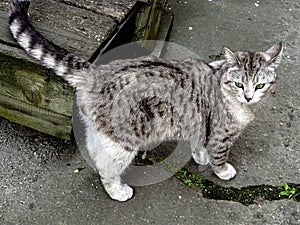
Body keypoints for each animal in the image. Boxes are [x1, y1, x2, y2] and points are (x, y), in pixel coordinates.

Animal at [8, 0, 282, 200]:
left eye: (260, 85)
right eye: (239, 84)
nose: (248, 96)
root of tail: (97, 72)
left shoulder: (199, 124)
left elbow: (198, 145)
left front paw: (200, 157)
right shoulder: (220, 136)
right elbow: (219, 156)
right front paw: (223, 171)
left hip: (103, 133)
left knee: (95, 153)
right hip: (123, 143)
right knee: (106, 168)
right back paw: (118, 191)